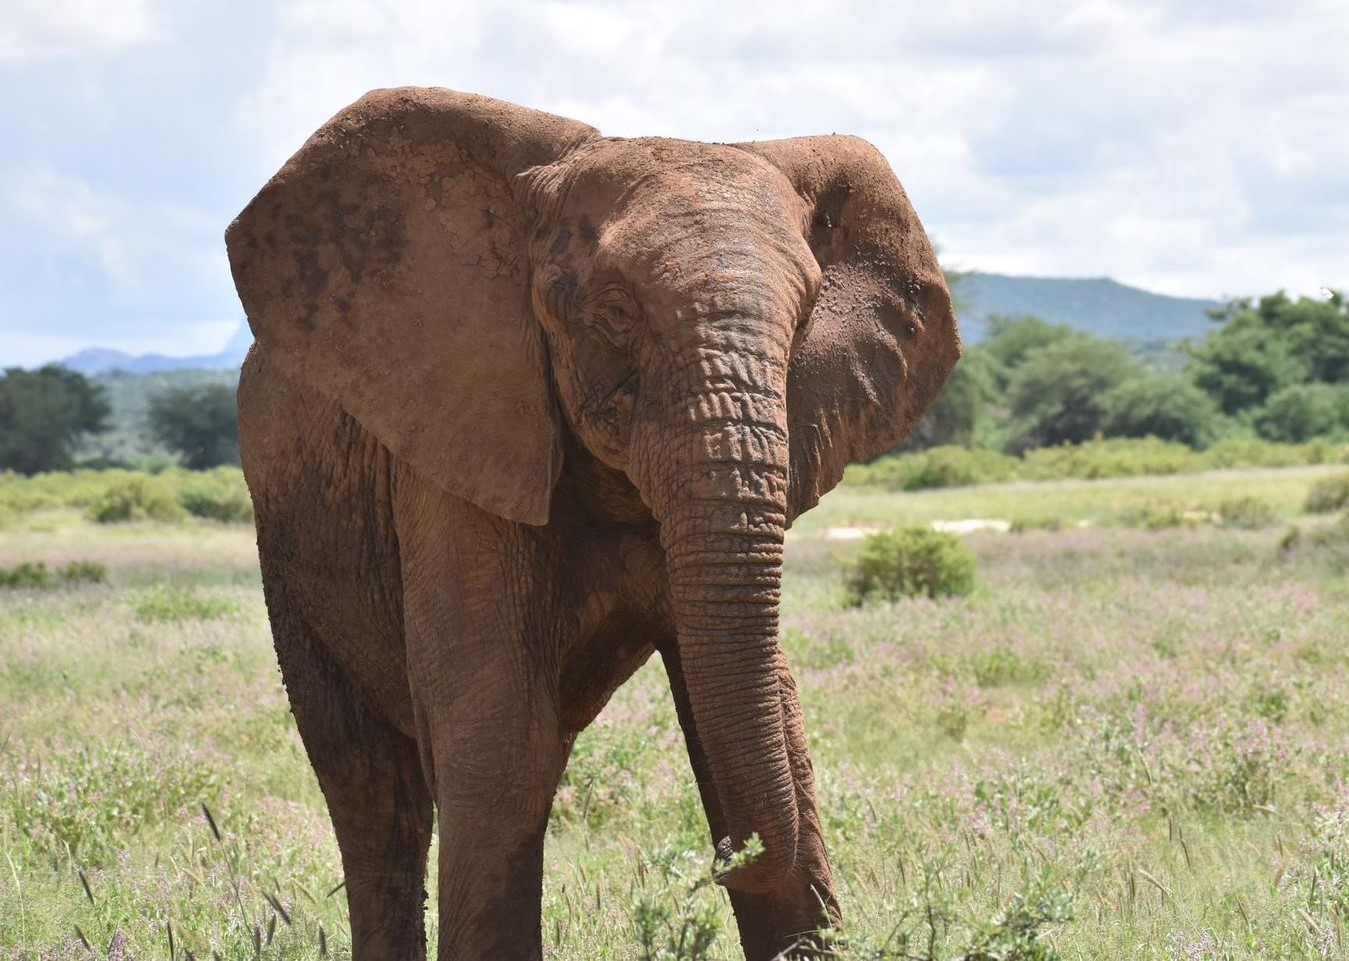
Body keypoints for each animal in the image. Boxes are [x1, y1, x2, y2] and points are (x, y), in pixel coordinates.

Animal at [223, 86, 960, 955]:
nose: (719, 863)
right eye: (613, 312)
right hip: (287, 544)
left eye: (809, 313)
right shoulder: (458, 445)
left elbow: (760, 718)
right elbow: (500, 739)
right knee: (372, 790)